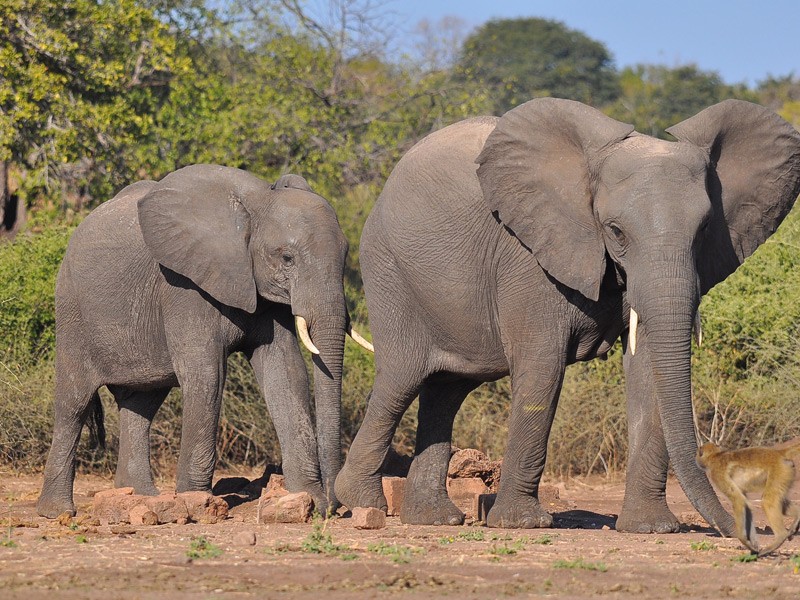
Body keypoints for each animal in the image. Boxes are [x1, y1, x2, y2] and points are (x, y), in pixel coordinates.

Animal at [36, 165, 374, 520]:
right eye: (287, 258)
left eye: (346, 255)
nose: (336, 508)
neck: (256, 203)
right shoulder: (183, 285)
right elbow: (206, 374)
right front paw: (195, 502)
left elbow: (286, 372)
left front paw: (309, 501)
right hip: (72, 311)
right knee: (74, 403)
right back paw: (57, 512)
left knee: (141, 405)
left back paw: (140, 497)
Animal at [334, 99, 800, 536]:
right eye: (615, 231)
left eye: (704, 231)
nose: (752, 532)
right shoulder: (527, 255)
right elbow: (542, 367)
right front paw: (521, 523)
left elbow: (648, 369)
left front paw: (650, 528)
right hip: (388, 272)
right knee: (403, 376)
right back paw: (362, 502)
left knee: (447, 388)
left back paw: (435, 519)